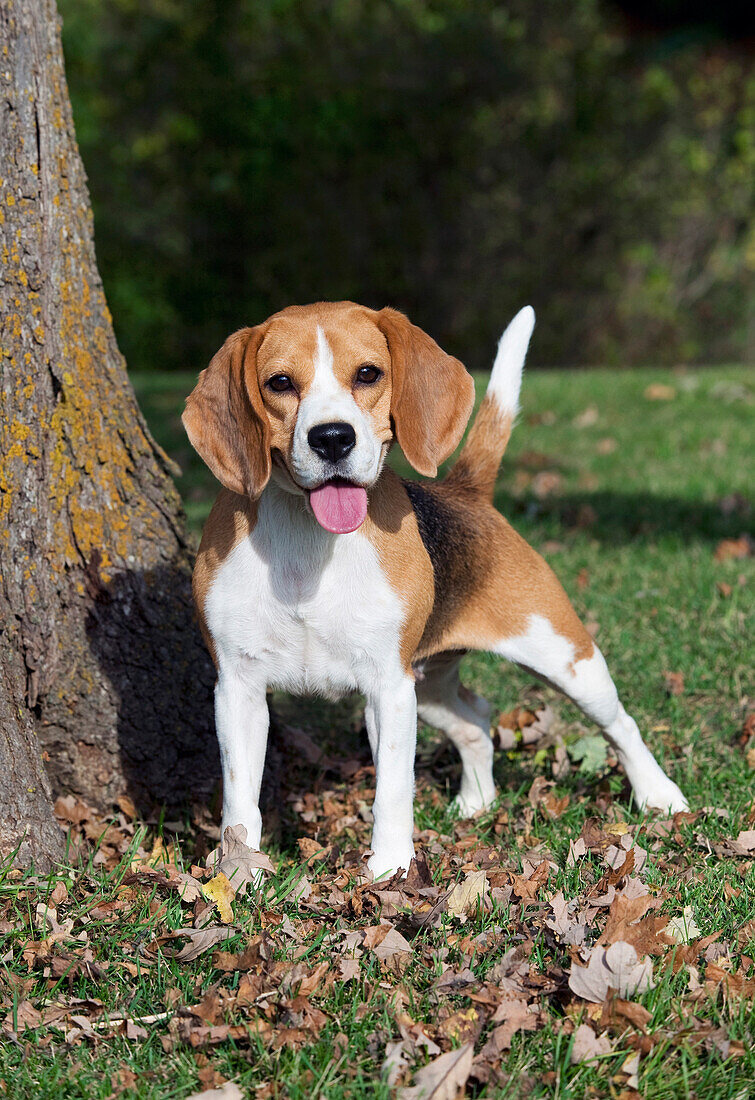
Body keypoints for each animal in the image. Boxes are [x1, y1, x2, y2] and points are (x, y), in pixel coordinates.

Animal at [181, 299, 686, 875]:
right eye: (280, 382)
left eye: (368, 374)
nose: (332, 438)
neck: (309, 537)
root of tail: (466, 491)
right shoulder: (237, 688)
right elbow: (240, 802)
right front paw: (237, 877)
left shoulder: (388, 688)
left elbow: (392, 791)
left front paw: (388, 872)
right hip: (430, 683)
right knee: (477, 719)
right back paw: (476, 802)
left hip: (566, 661)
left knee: (621, 725)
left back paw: (659, 796)